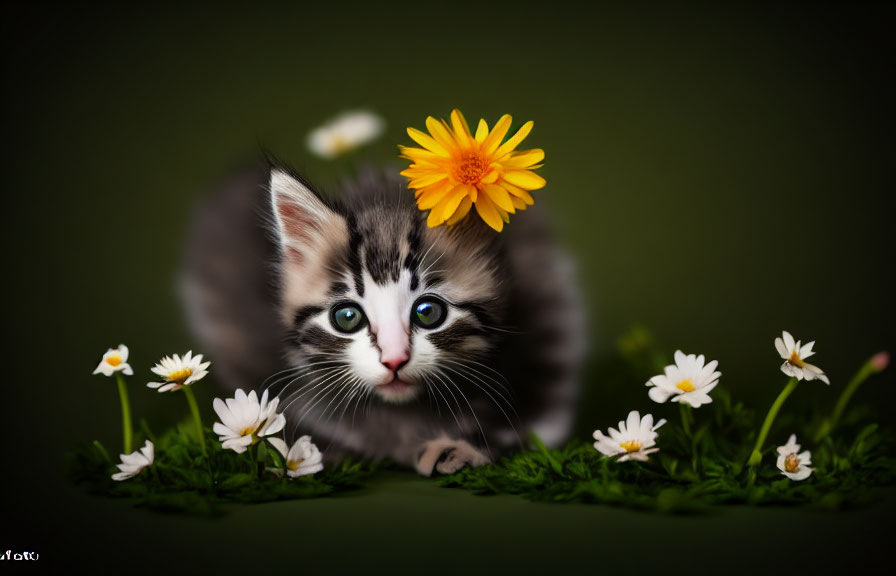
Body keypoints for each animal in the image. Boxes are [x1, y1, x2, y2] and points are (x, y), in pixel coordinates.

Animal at [182, 161, 588, 472]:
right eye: (347, 317)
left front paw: (459, 448)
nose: (394, 359)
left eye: (428, 312)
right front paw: (309, 451)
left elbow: (526, 430)